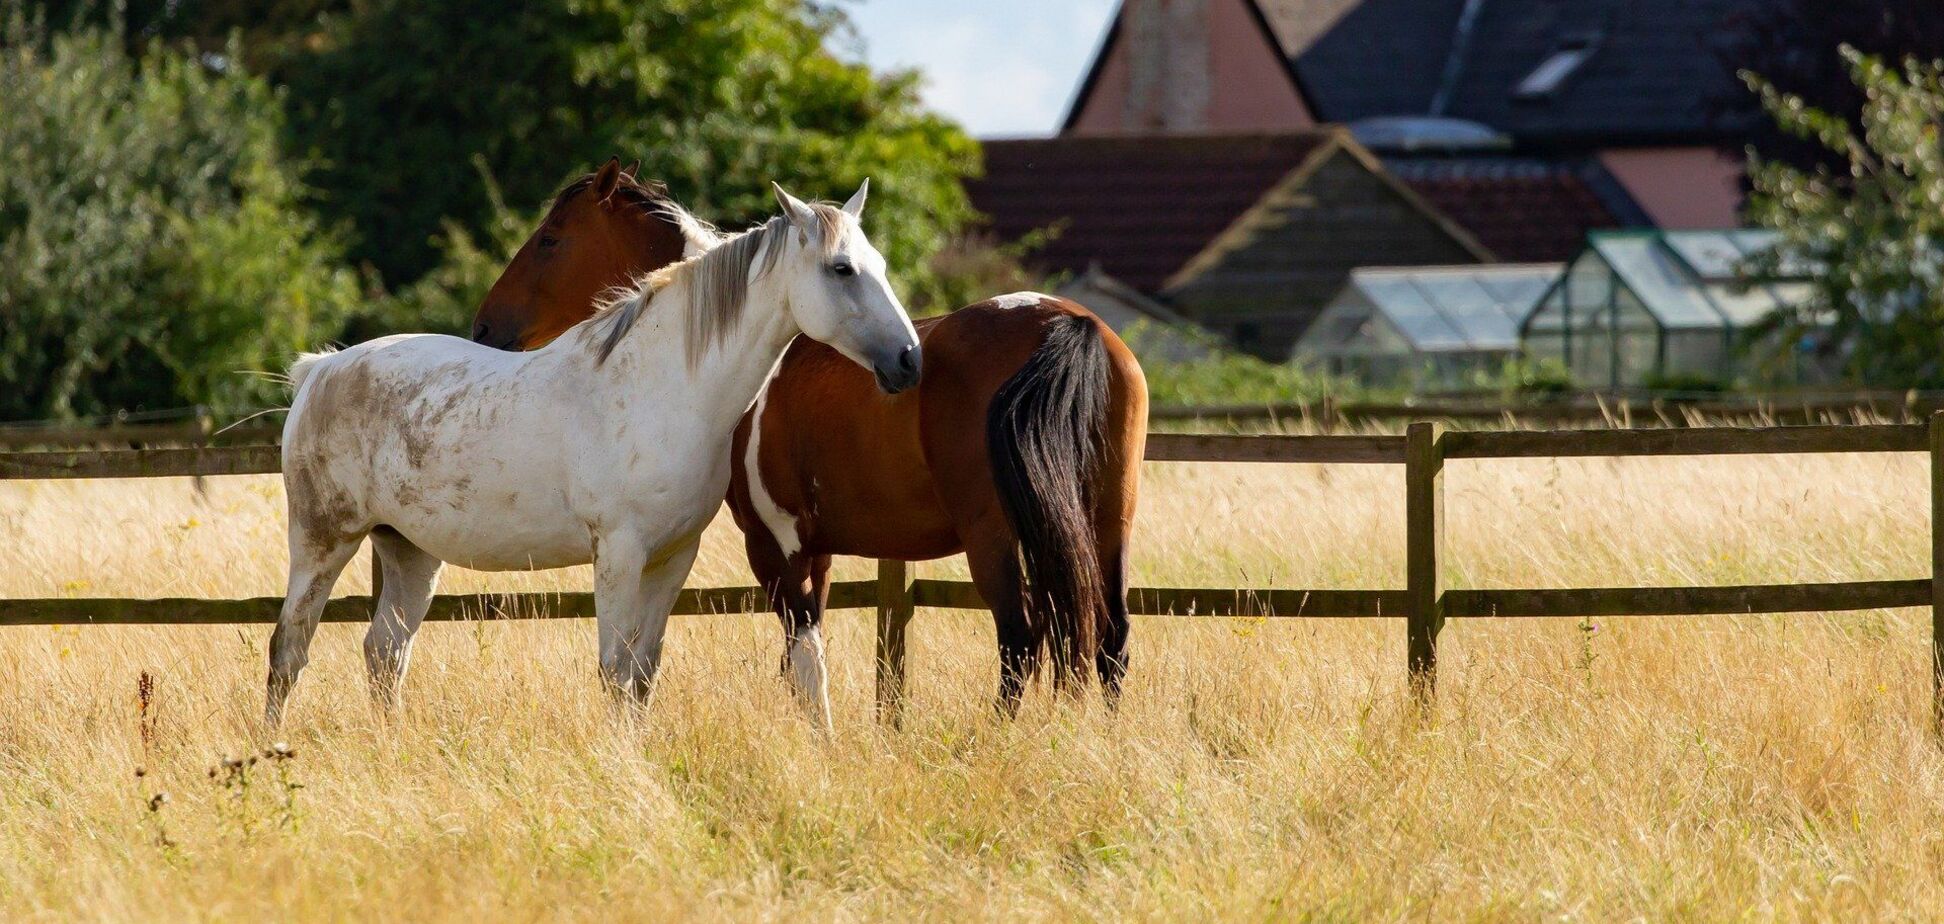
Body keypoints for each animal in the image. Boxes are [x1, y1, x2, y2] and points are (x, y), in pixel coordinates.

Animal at [264, 182, 917, 731]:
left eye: (880, 266)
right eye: (841, 268)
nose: (908, 360)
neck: (666, 387)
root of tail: (321, 370)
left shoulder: (673, 557)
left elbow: (644, 672)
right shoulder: (620, 554)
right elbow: (615, 670)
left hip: (409, 553)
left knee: (384, 651)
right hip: (322, 541)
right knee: (289, 646)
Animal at [472, 159, 1143, 711]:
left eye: (551, 239)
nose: (485, 326)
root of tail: (1067, 322)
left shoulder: (774, 545)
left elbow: (802, 658)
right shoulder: (816, 549)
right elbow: (805, 662)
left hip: (995, 535)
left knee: (1020, 640)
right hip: (1108, 523)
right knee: (1107, 639)